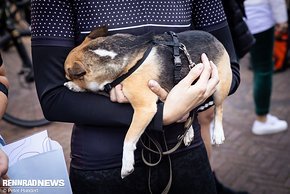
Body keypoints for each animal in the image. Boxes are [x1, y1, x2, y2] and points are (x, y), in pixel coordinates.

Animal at [63, 26, 231, 179]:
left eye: (68, 74)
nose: (68, 79)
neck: (115, 54)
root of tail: (214, 38)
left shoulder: (144, 109)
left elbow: (128, 138)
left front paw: (126, 165)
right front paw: (74, 86)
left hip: (220, 87)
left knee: (219, 108)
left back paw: (217, 133)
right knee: (191, 109)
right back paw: (188, 132)